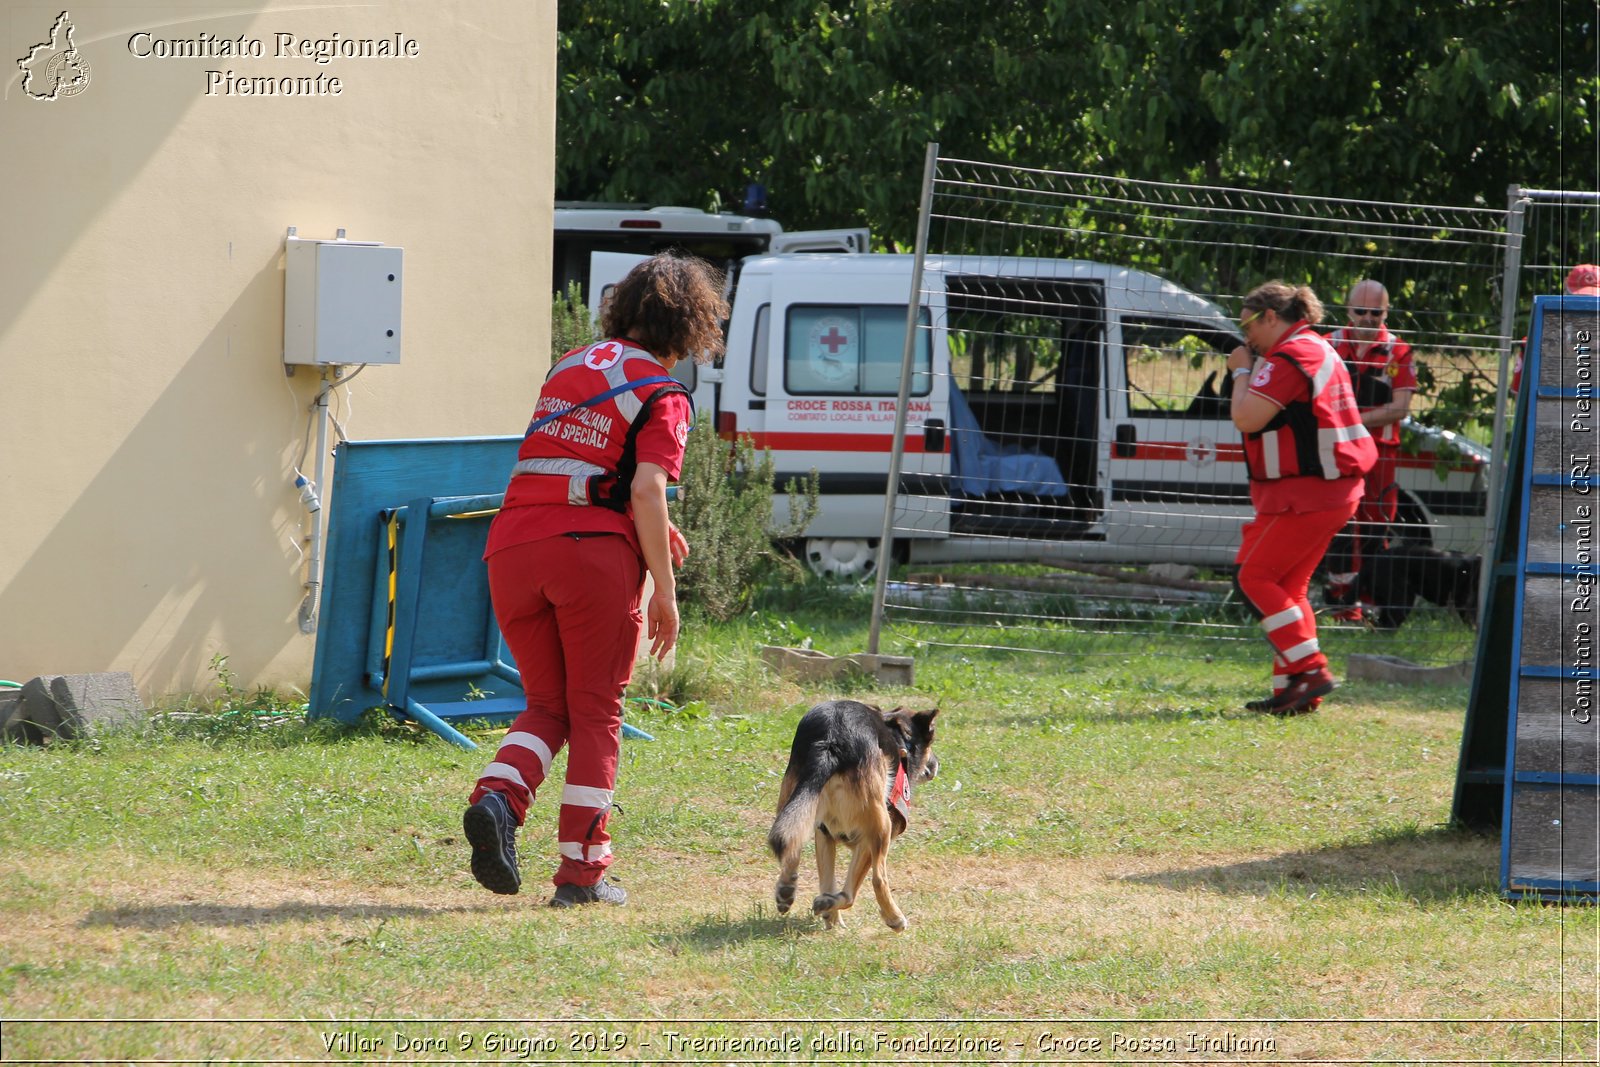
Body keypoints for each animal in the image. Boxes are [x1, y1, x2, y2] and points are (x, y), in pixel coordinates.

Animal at [764, 700, 934, 927]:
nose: (935, 765)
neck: (899, 738)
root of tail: (831, 739)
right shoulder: (867, 841)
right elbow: (851, 890)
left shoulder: (824, 833)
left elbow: (827, 881)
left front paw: (832, 917)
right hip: (881, 824)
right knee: (877, 880)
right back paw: (895, 917)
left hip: (795, 798)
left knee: (790, 843)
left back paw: (787, 888)